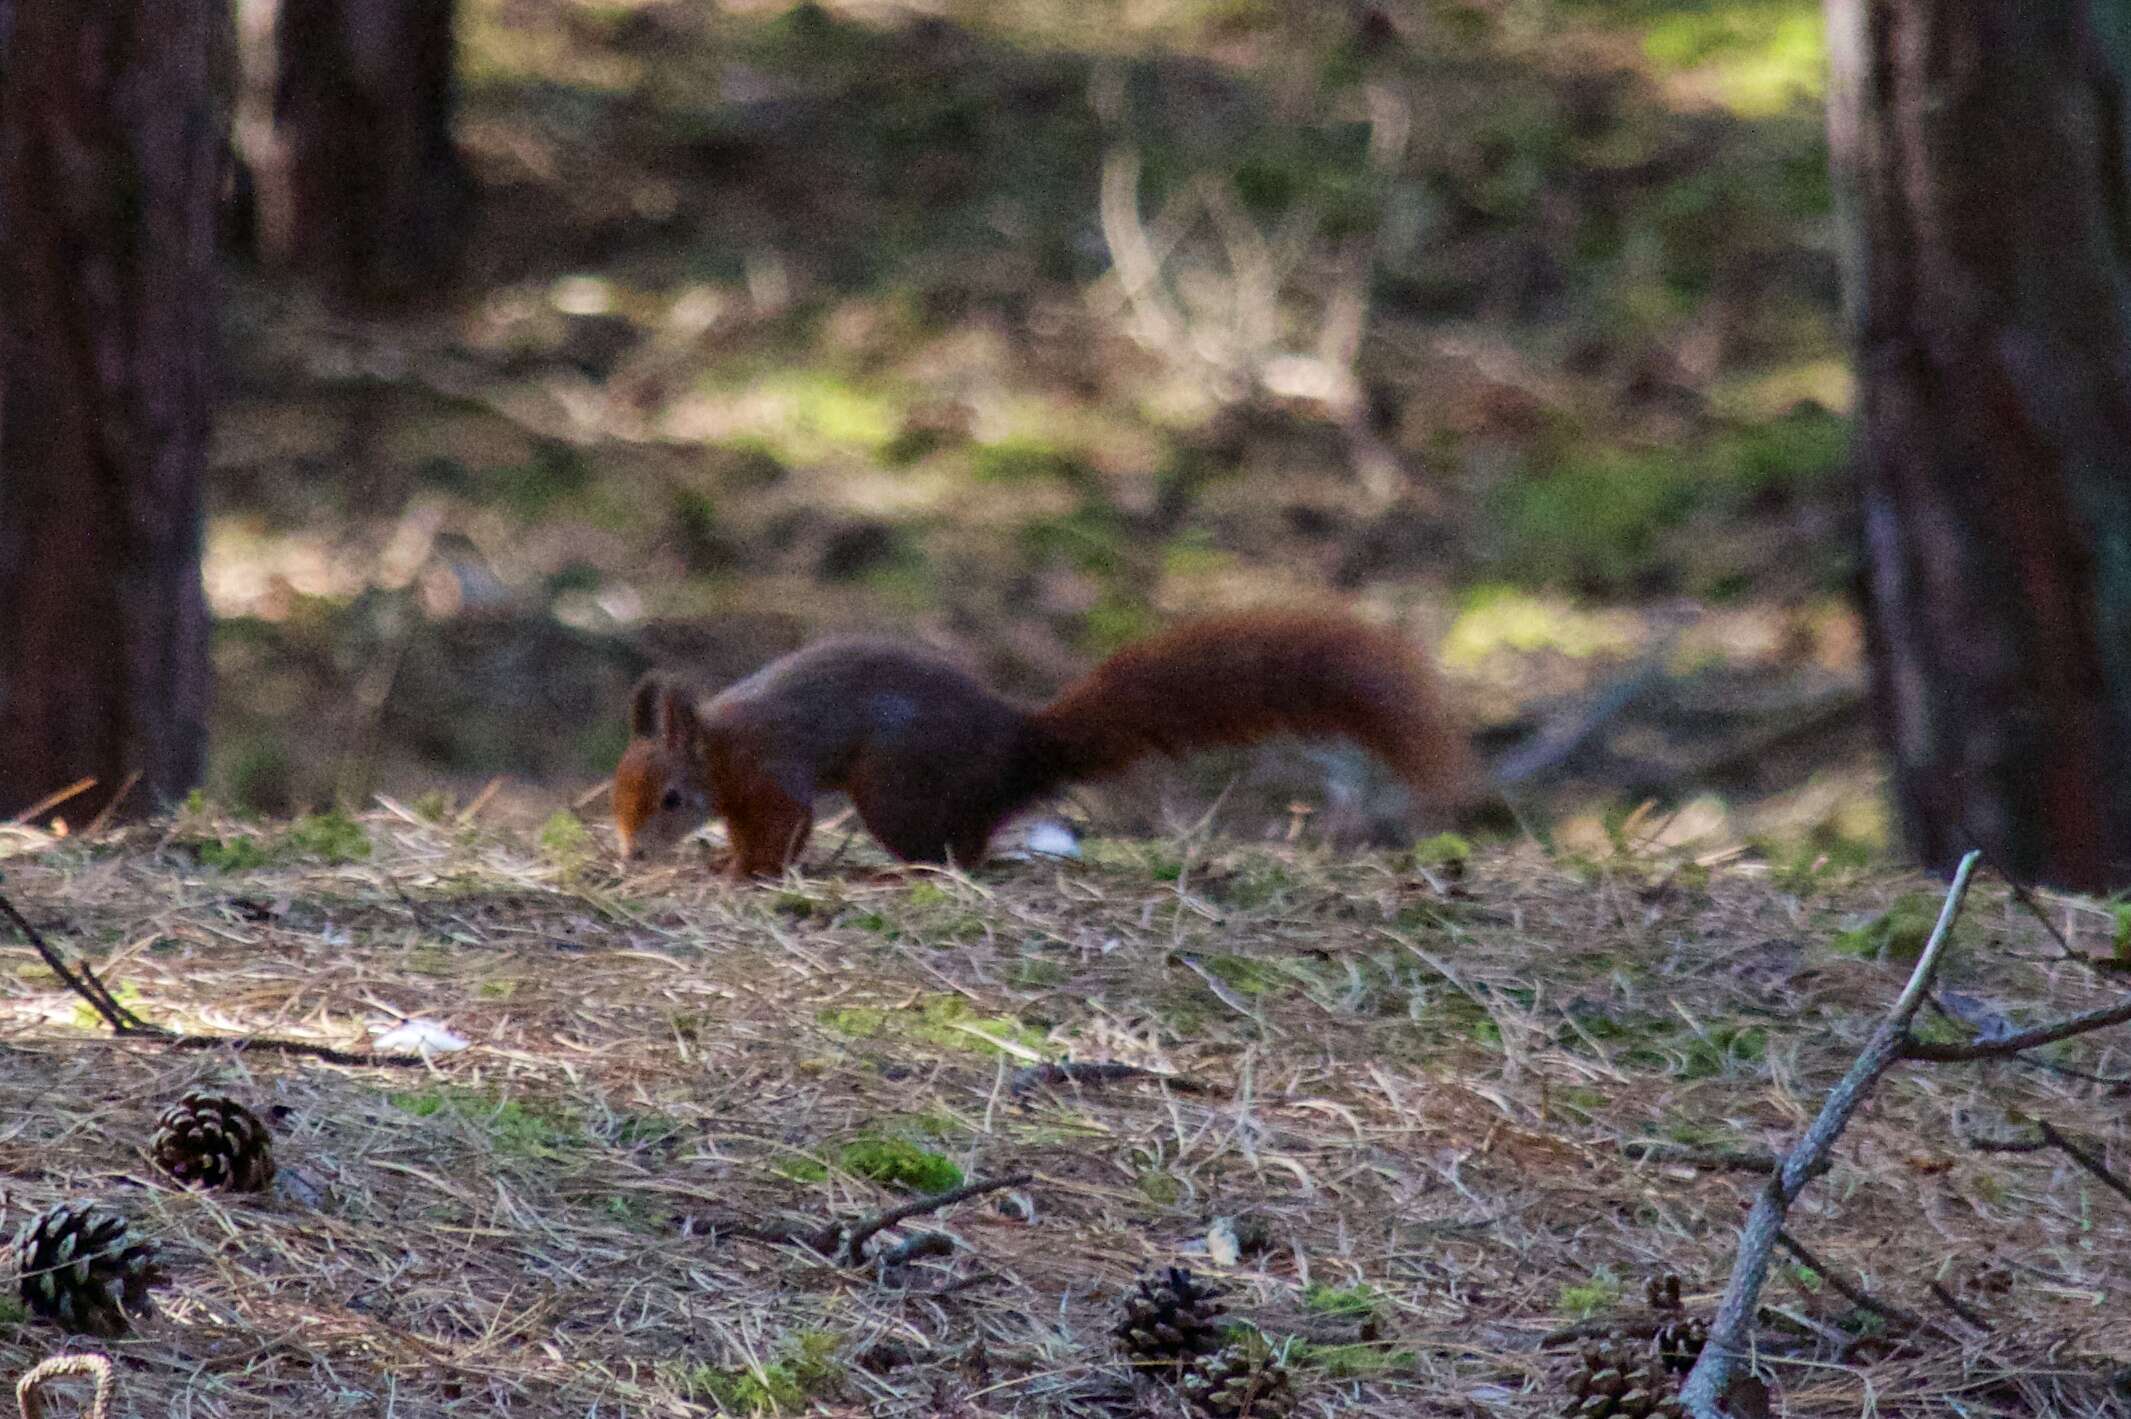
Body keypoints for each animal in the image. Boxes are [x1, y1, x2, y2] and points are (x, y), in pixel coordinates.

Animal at [613, 609, 1483, 873]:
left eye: (670, 798)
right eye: (617, 792)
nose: (629, 853)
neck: (718, 746)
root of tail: (1019, 745)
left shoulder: (770, 772)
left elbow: (785, 827)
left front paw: (745, 874)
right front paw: (722, 862)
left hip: (894, 788)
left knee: (959, 850)